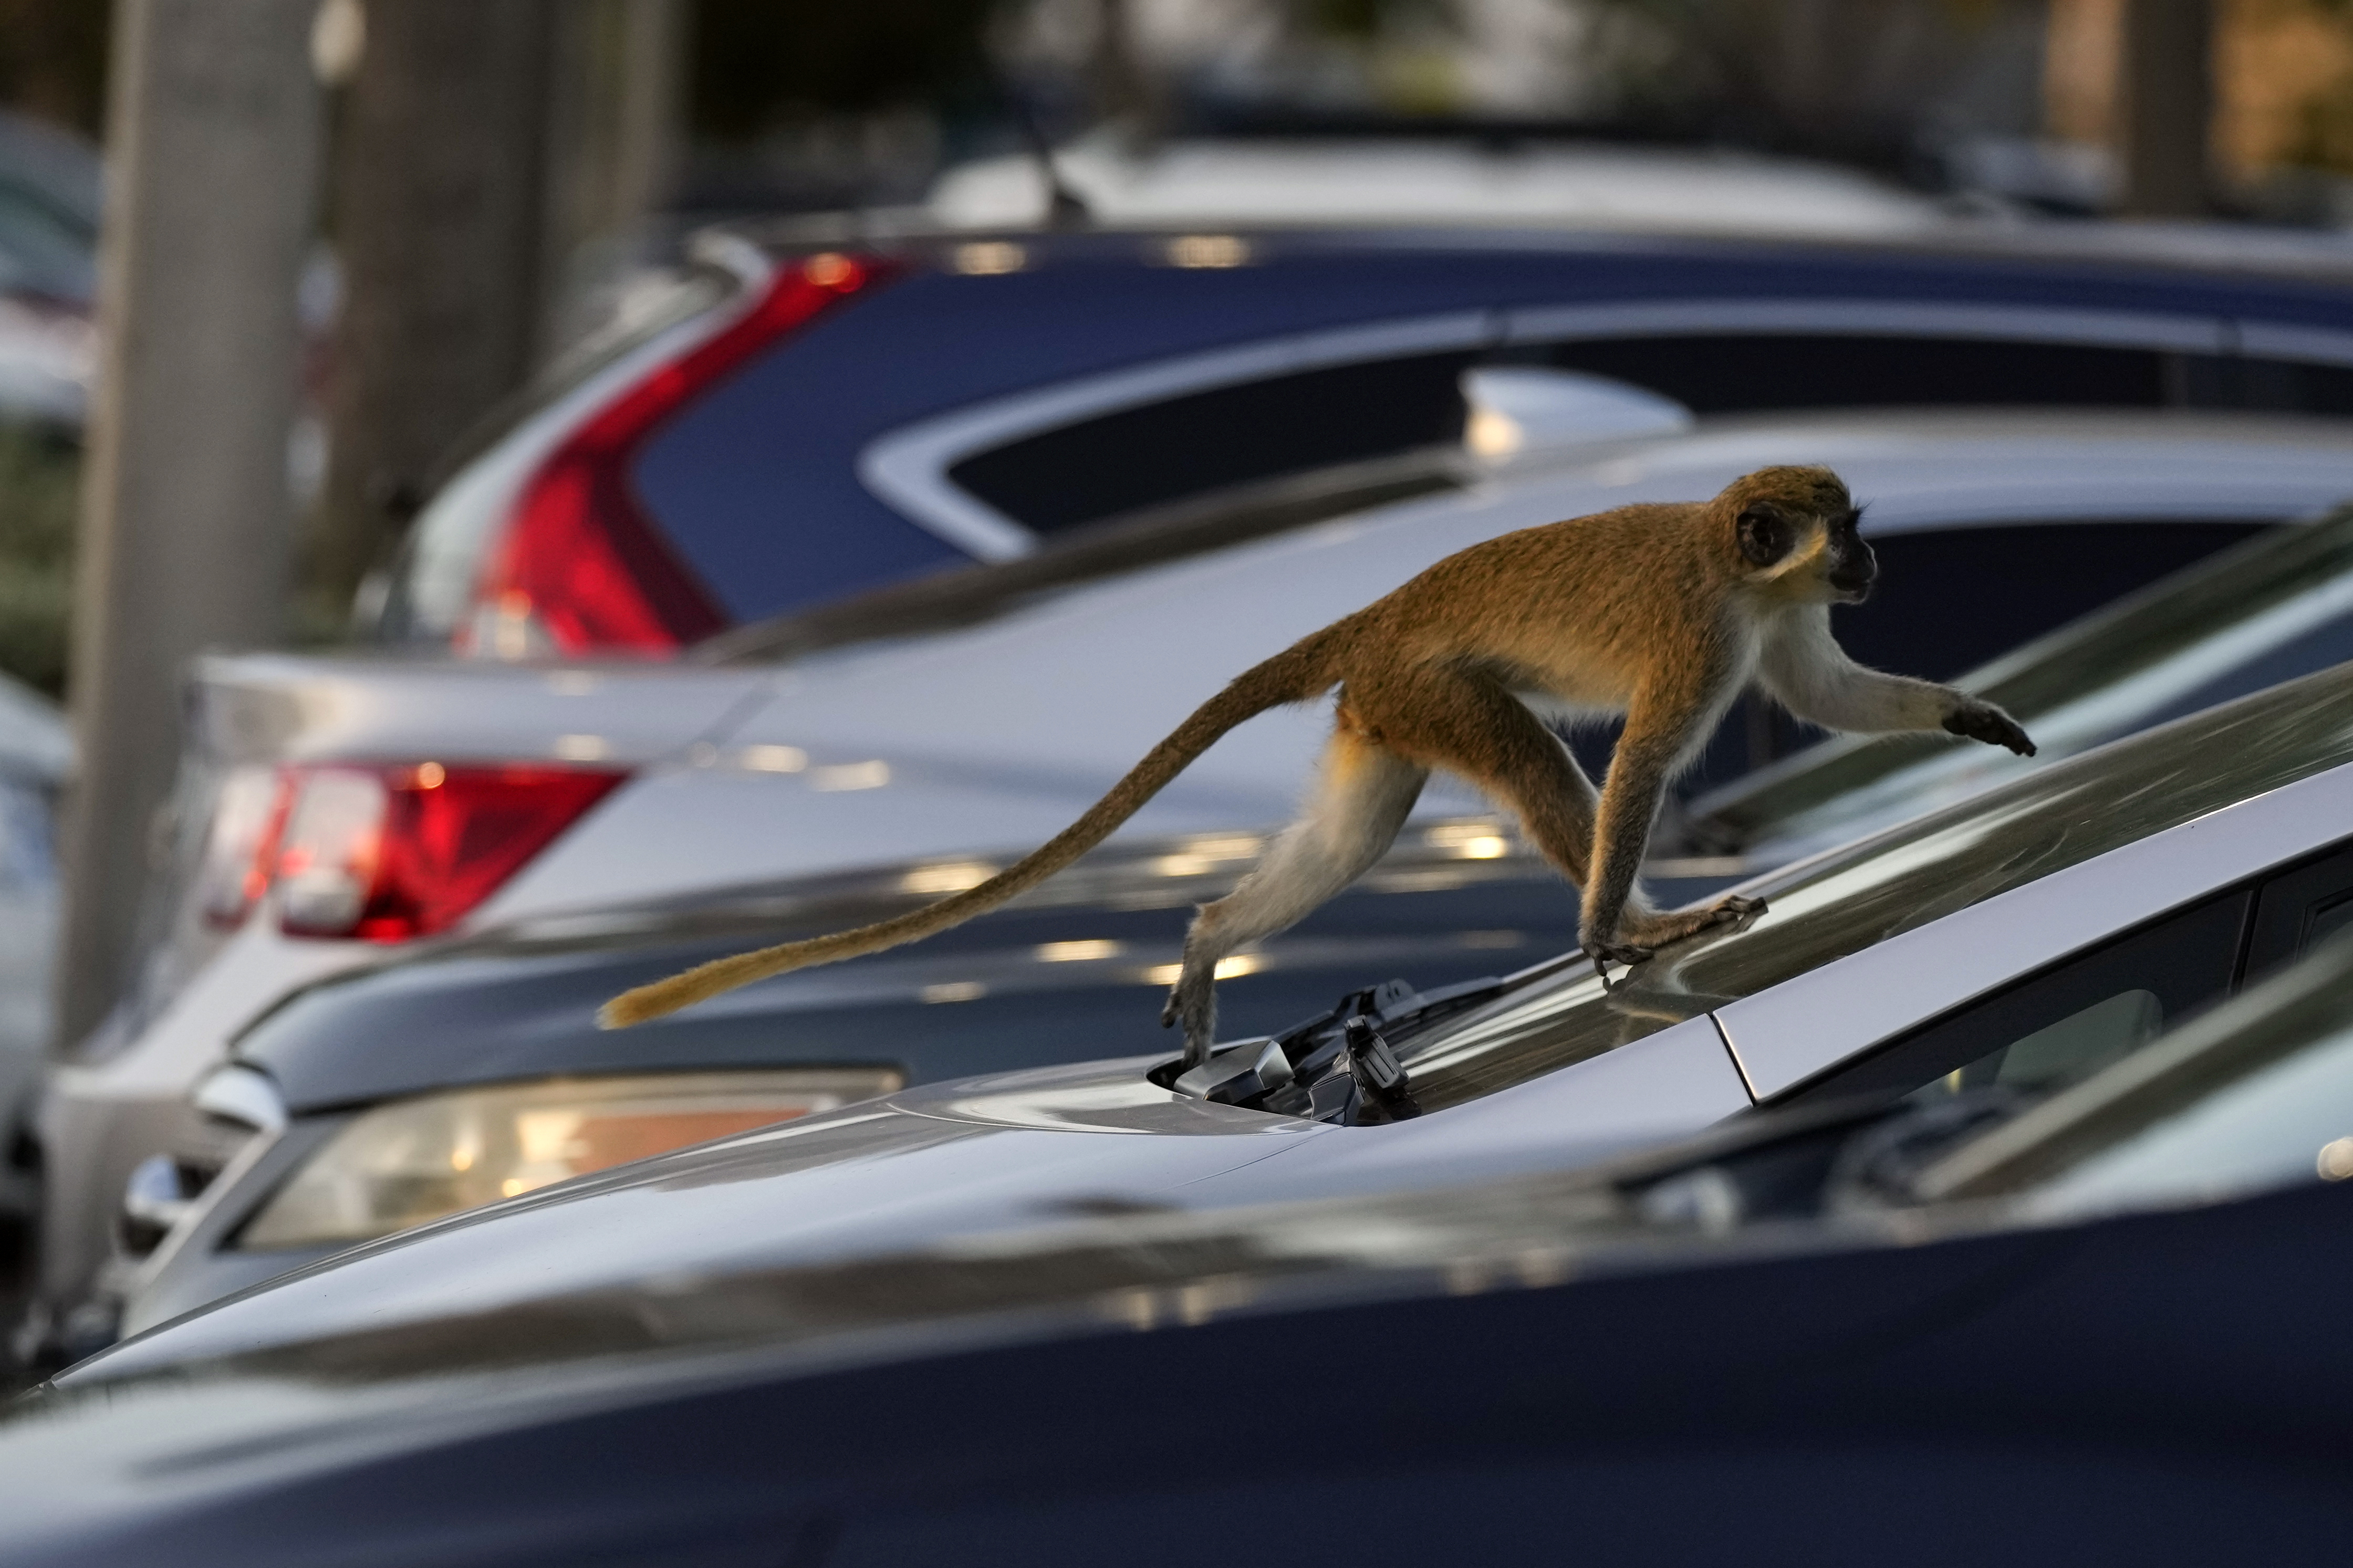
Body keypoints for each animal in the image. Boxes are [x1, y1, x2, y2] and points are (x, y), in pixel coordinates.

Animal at [611, 461, 2042, 1062]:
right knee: (1542, 767)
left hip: (1382, 717)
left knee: (1351, 836)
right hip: (1429, 689)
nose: (1870, 561)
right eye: (1841, 531)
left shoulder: (1775, 619)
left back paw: (1204, 933)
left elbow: (1824, 691)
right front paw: (1616, 935)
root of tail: (1381, 614)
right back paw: (1630, 916)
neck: (1730, 559)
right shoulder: (1703, 633)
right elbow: (1644, 753)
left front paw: (1974, 718)